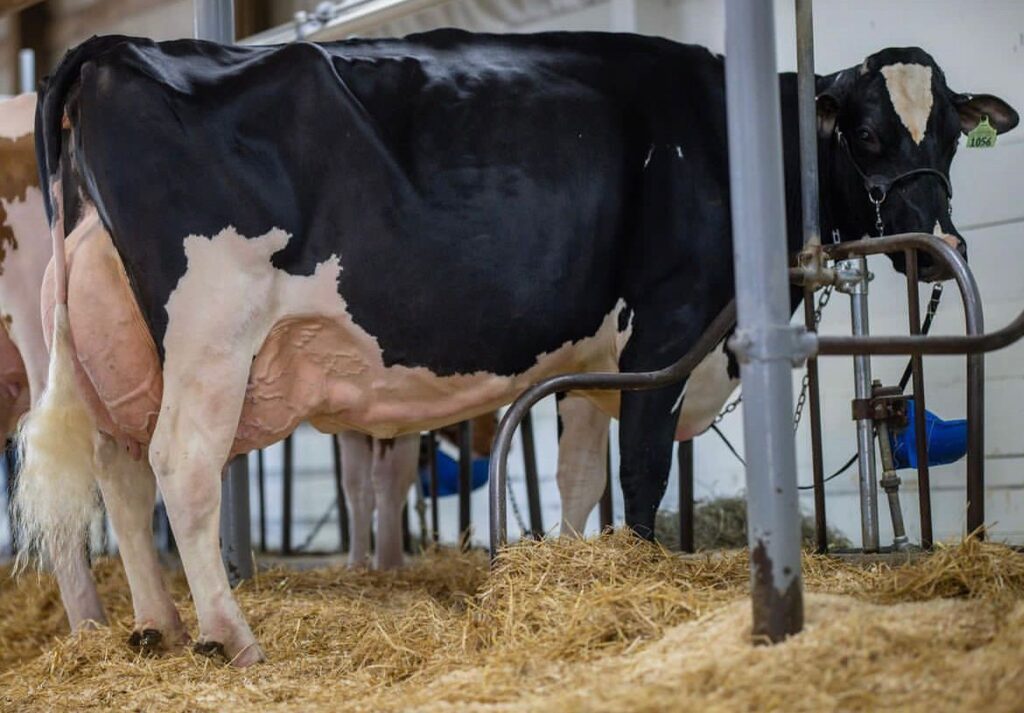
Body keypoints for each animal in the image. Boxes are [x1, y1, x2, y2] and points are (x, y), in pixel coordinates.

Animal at [19, 32, 1019, 667]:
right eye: (865, 131)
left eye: (947, 134)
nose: (940, 243)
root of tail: (114, 50)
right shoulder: (669, 323)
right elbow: (642, 472)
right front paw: (636, 569)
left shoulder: (593, 357)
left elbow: (578, 477)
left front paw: (572, 568)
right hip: (209, 332)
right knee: (181, 468)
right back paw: (229, 635)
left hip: (115, 347)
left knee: (118, 469)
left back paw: (155, 626)